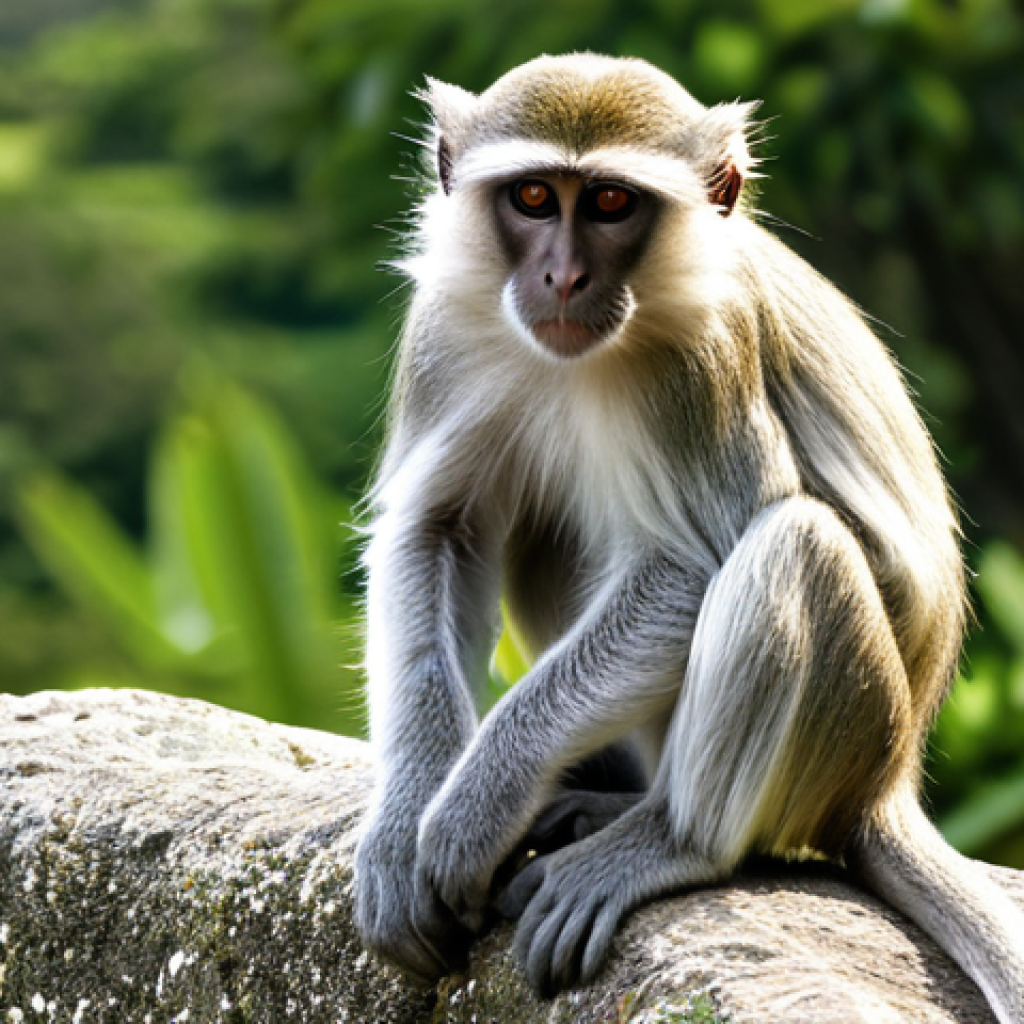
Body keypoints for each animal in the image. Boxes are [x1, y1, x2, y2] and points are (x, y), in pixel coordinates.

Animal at [352, 53, 1024, 1022]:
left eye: (609, 203)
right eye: (532, 197)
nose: (561, 278)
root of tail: (886, 785)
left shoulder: (704, 358)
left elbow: (696, 564)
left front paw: (475, 807)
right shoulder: (445, 326)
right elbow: (438, 528)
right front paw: (404, 821)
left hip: (853, 731)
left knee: (795, 543)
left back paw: (667, 839)